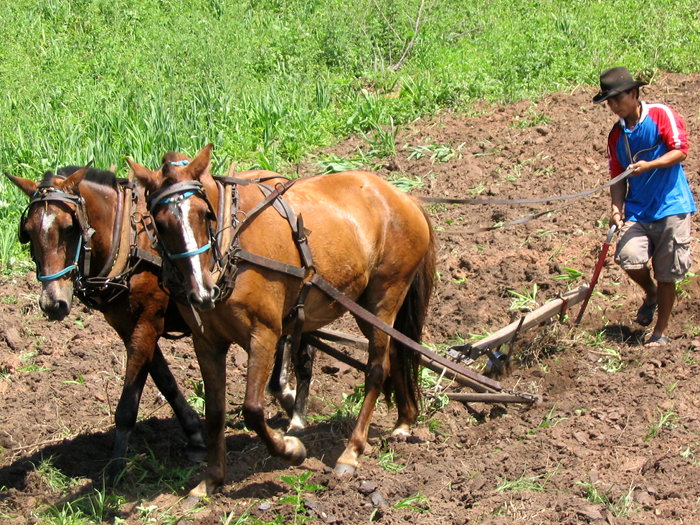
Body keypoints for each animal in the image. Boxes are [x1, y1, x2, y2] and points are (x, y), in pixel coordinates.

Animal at [6, 164, 206, 478]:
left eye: (69, 228)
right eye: (27, 231)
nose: (52, 303)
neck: (130, 239)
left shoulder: (147, 323)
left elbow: (128, 402)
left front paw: (115, 468)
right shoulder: (129, 328)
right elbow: (166, 382)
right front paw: (195, 435)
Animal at [129, 144, 434, 496]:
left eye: (204, 214)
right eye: (159, 223)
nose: (202, 292)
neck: (231, 250)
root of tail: (403, 197)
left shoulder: (265, 332)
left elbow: (252, 409)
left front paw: (291, 449)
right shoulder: (206, 342)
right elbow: (215, 413)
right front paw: (210, 481)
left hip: (385, 295)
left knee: (376, 369)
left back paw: (351, 451)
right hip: (365, 305)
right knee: (397, 351)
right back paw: (404, 421)